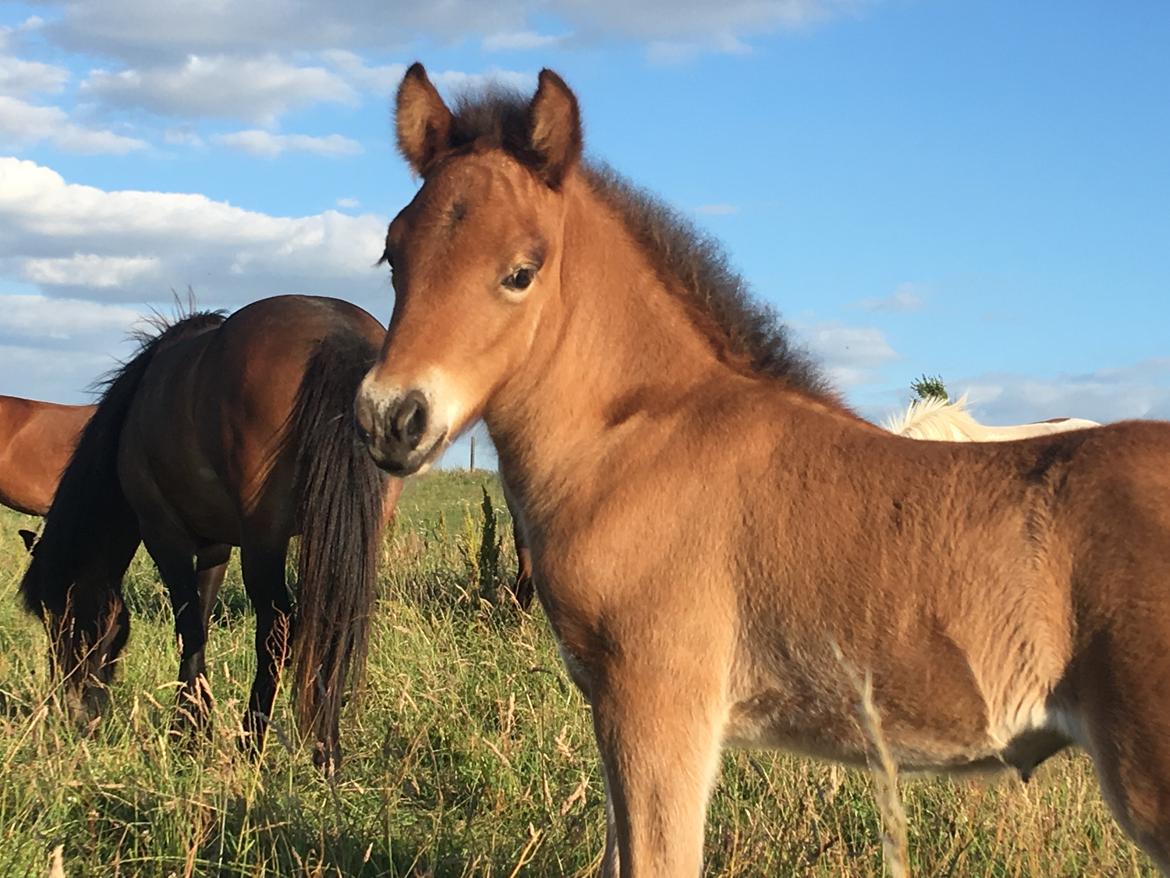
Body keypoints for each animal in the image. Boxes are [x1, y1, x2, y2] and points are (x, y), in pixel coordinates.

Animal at [20, 296, 397, 767]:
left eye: (62, 619)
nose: (71, 711)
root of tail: (336, 334)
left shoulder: (164, 534)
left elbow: (189, 629)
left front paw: (188, 731)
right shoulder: (216, 547)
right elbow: (200, 619)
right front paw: (193, 723)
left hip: (264, 541)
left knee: (277, 630)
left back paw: (251, 744)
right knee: (336, 624)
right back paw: (326, 753)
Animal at [353, 65, 1170, 875]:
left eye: (522, 272)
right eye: (393, 257)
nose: (390, 417)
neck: (641, 439)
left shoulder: (659, 704)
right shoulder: (611, 708)